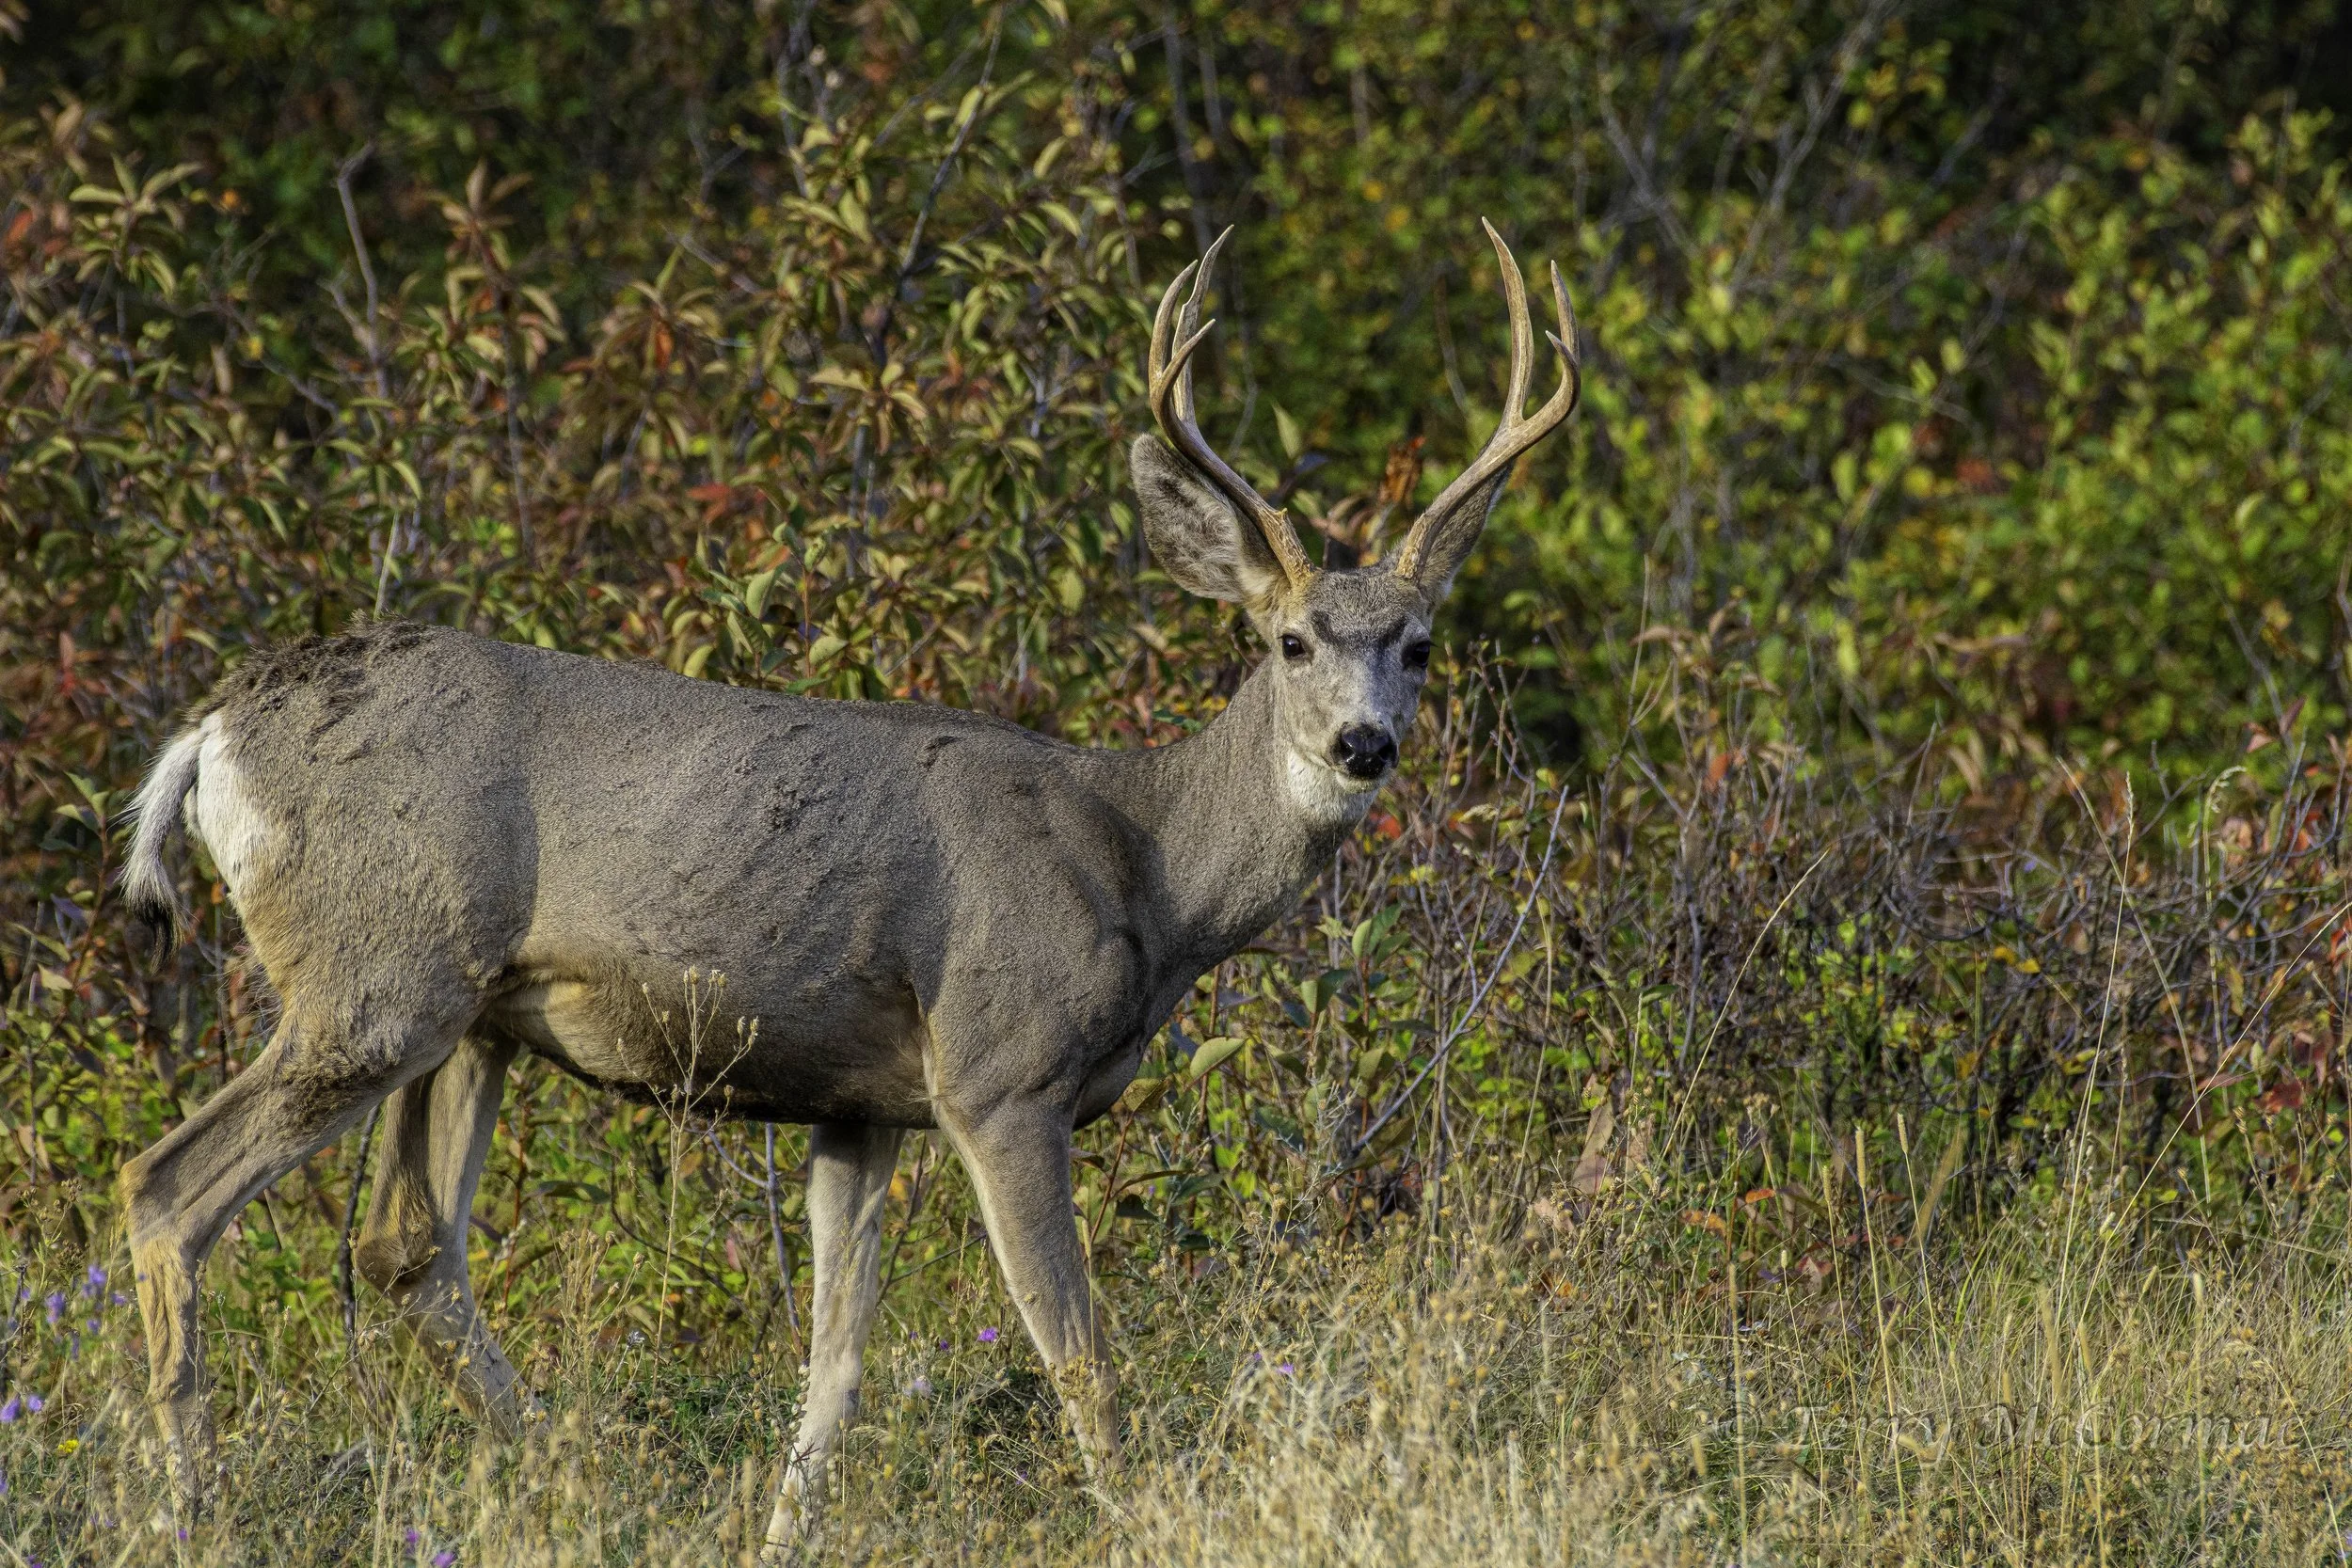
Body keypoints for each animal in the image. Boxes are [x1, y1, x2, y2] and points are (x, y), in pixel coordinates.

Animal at [114, 221, 1579, 1552]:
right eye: (1289, 640)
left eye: (1419, 643)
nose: (1362, 744)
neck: (1146, 868)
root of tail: (211, 739)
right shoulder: (998, 1069)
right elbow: (1079, 1355)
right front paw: (1144, 1517)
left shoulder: (857, 1102)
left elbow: (835, 1366)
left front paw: (782, 1530)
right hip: (374, 970)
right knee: (167, 1185)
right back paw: (199, 1510)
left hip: (470, 1013)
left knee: (403, 1241)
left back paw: (580, 1482)